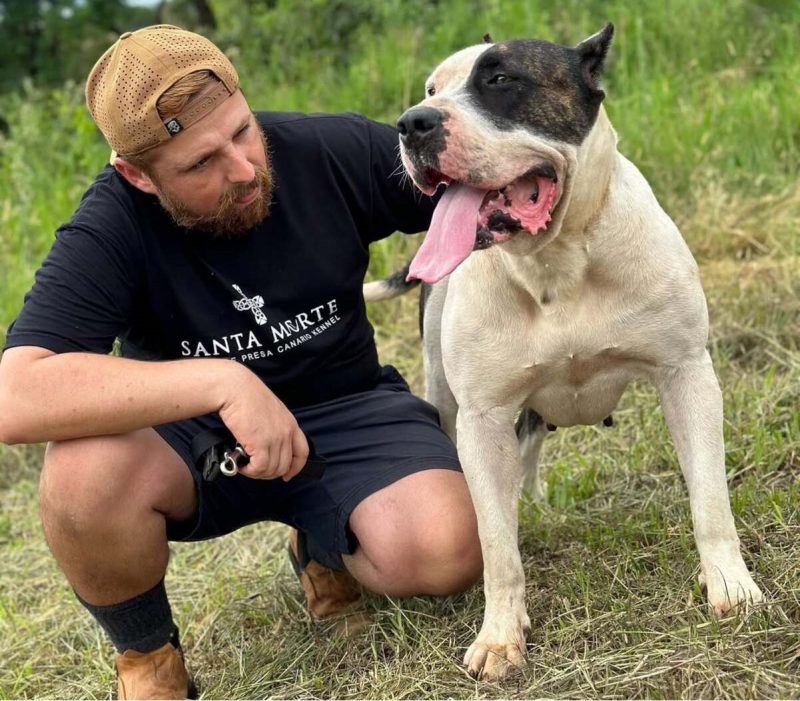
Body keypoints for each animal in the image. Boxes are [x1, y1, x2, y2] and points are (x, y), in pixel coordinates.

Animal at [366, 26, 764, 680]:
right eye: (430, 90)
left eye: (501, 79)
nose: (412, 123)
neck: (556, 262)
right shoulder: (483, 418)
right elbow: (496, 544)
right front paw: (501, 636)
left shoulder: (687, 374)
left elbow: (710, 499)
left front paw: (732, 587)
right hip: (449, 400)